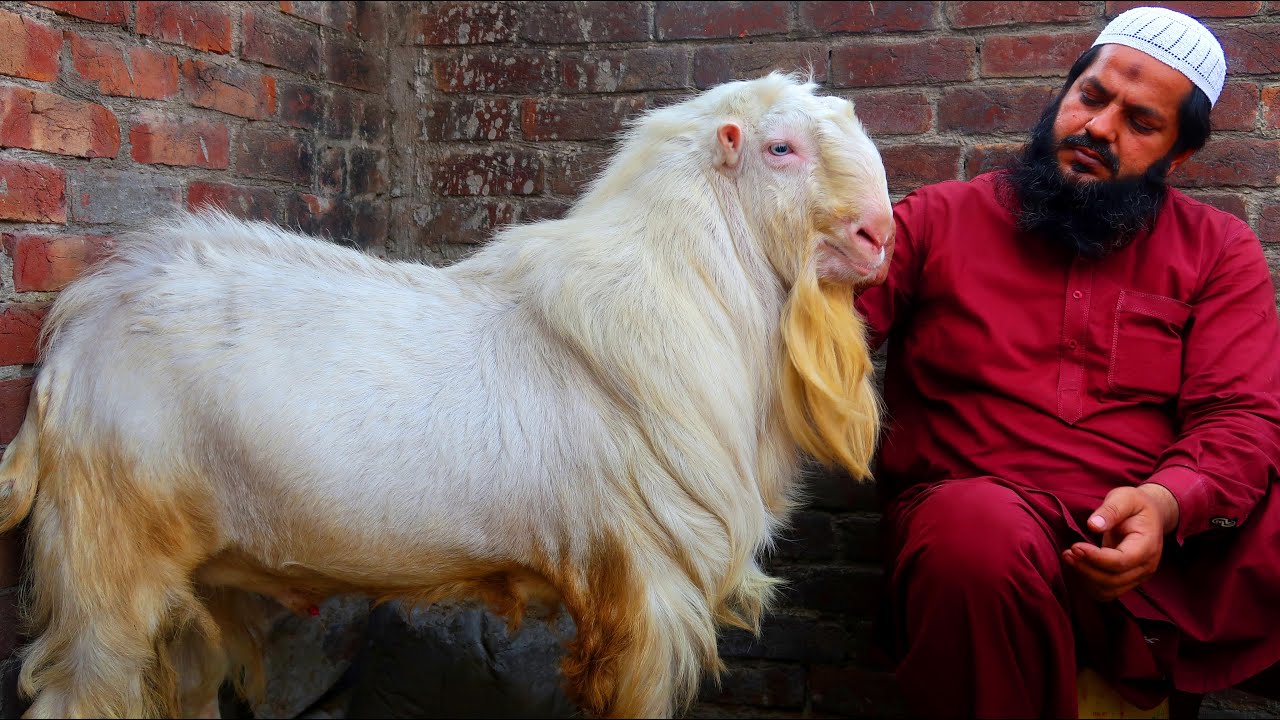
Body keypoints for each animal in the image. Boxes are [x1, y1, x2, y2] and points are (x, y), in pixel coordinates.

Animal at [0, 73, 892, 718]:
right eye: (781, 148)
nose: (878, 235)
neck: (683, 289)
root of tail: (76, 331)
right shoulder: (646, 584)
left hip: (195, 580)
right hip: (108, 564)